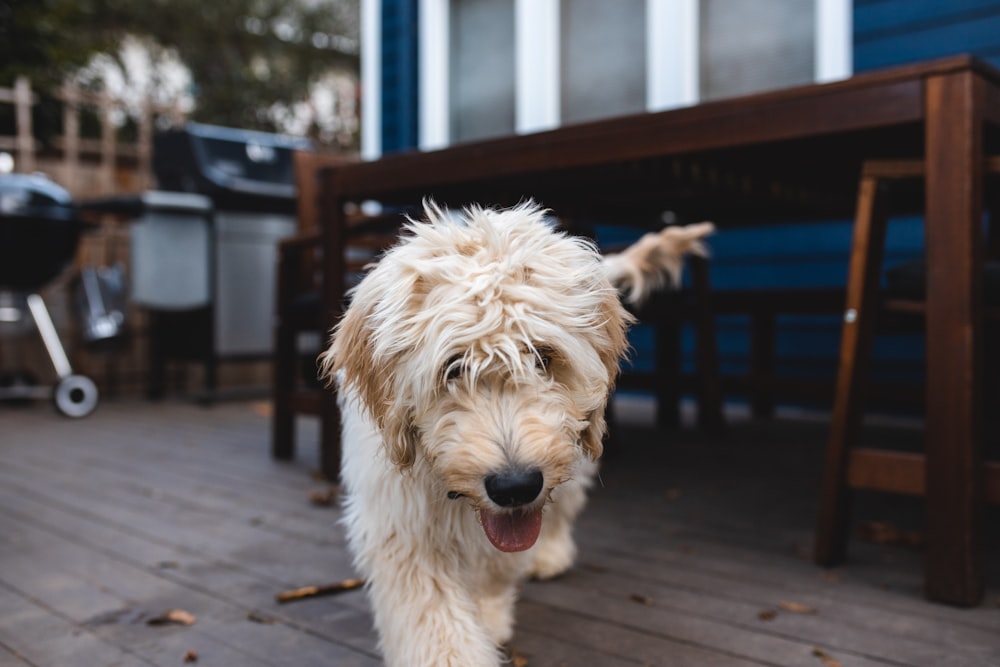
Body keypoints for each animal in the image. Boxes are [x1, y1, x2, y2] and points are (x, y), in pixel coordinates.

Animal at [320, 204, 712, 667]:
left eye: (543, 356)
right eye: (453, 367)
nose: (515, 486)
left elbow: (498, 566)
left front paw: (489, 616)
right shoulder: (400, 523)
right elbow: (432, 614)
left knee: (567, 502)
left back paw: (551, 553)